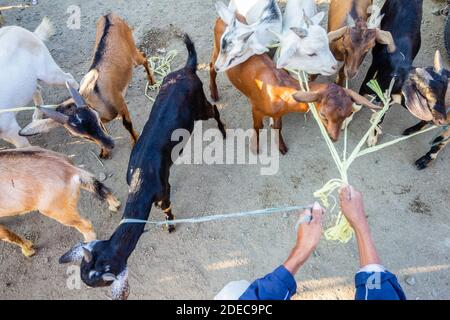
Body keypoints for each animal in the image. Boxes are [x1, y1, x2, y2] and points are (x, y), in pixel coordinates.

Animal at [0, 17, 78, 148]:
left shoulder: (9, 127)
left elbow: (24, 147)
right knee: (37, 88)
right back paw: (37, 116)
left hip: (49, 74)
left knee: (70, 78)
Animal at [22, 13, 157, 159]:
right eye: (82, 136)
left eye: (95, 119)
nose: (110, 144)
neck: (99, 98)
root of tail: (108, 15)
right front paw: (104, 151)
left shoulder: (121, 105)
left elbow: (127, 124)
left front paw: (136, 141)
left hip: (133, 52)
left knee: (143, 56)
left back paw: (152, 81)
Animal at [59, 35, 227, 300]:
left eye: (97, 280)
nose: (83, 281)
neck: (140, 181)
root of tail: (187, 69)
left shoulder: (163, 189)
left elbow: (167, 206)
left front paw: (171, 226)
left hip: (199, 106)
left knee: (214, 109)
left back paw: (223, 131)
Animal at [211, 17, 380, 155]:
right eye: (323, 114)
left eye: (347, 113)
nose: (334, 137)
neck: (279, 91)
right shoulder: (256, 108)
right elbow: (258, 127)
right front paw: (255, 148)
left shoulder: (278, 113)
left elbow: (278, 126)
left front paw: (281, 147)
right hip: (216, 52)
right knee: (212, 67)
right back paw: (213, 94)